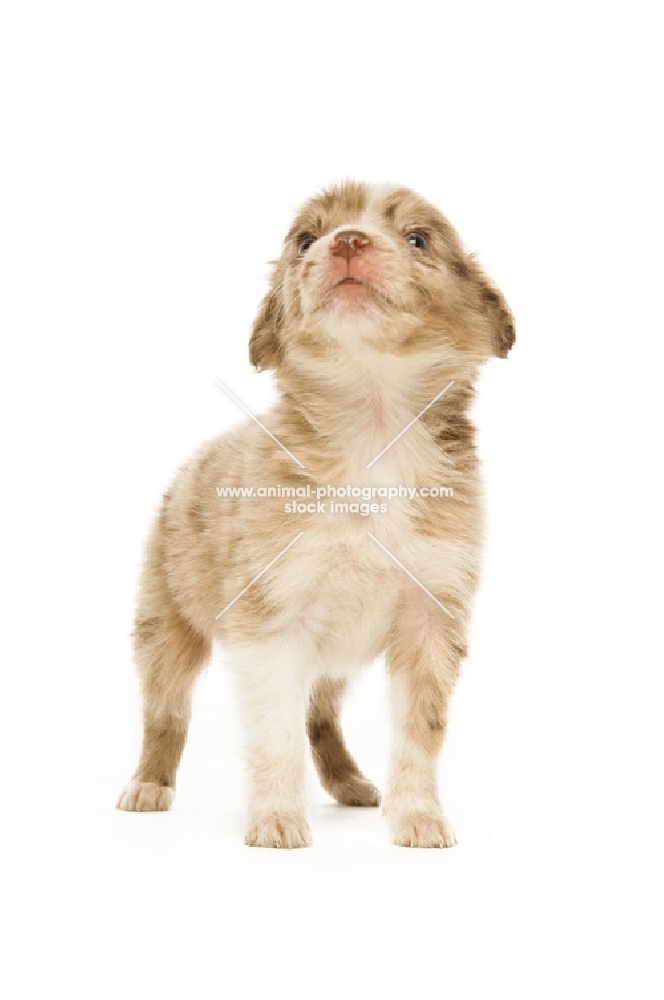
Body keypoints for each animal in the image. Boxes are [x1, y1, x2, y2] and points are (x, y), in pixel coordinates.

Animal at [116, 180, 516, 844]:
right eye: (306, 240)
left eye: (418, 239)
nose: (348, 240)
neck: (371, 433)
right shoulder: (271, 623)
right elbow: (274, 733)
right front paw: (277, 818)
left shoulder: (431, 618)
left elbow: (420, 734)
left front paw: (419, 817)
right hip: (166, 623)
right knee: (165, 712)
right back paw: (149, 783)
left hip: (332, 659)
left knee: (320, 716)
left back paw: (349, 782)